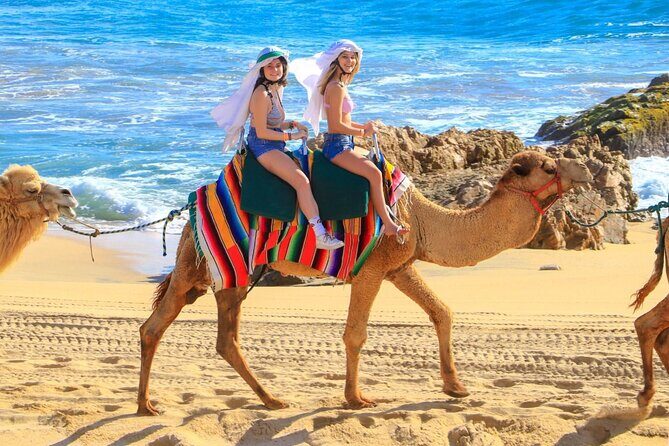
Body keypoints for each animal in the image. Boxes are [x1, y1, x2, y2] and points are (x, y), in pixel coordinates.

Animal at [137, 150, 593, 415]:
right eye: (549, 167)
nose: (589, 168)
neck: (422, 218)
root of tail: (192, 209)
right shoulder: (372, 267)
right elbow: (355, 333)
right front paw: (356, 399)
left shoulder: (400, 265)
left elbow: (442, 312)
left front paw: (456, 387)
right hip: (210, 265)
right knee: (170, 327)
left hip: (218, 273)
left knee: (201, 334)